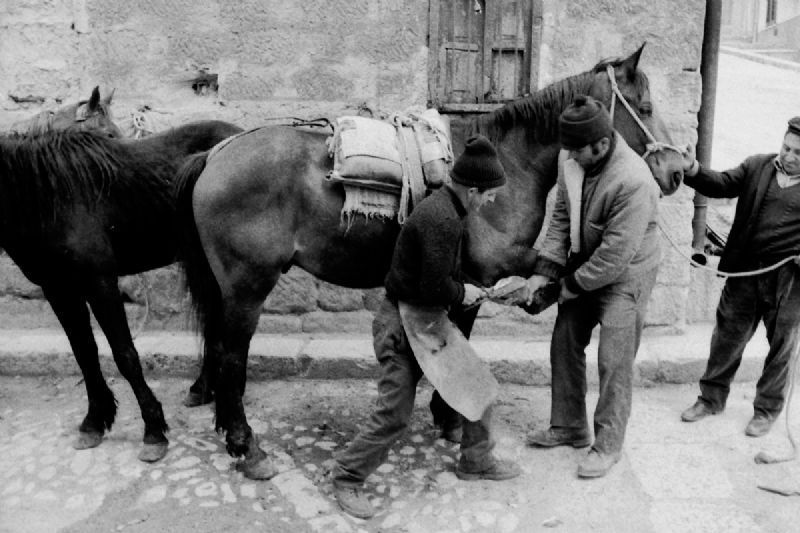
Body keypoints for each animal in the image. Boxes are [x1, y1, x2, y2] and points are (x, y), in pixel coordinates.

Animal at [0, 117, 242, 462]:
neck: (46, 198)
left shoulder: (100, 283)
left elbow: (125, 354)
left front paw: (153, 431)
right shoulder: (58, 289)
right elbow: (84, 353)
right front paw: (94, 421)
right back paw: (201, 388)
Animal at [177, 44, 688, 478]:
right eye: (644, 107)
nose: (678, 171)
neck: (506, 168)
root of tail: (215, 156)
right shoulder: (477, 276)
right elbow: (468, 328)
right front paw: (452, 419)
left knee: (220, 348)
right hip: (248, 288)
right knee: (231, 355)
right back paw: (245, 445)